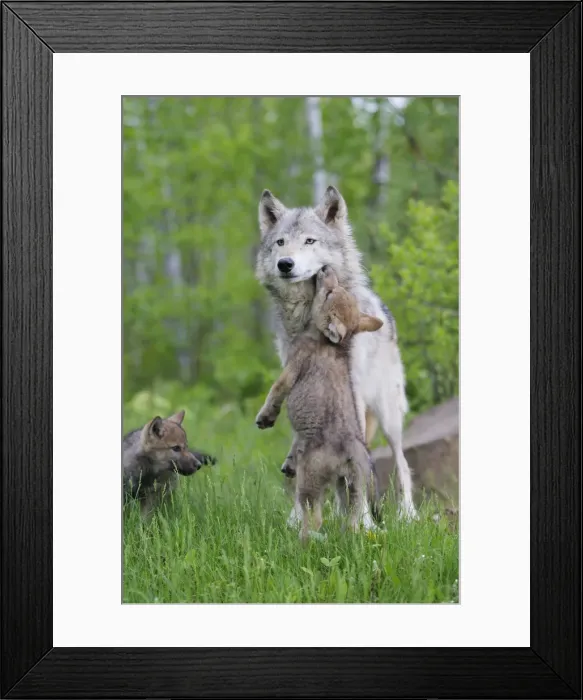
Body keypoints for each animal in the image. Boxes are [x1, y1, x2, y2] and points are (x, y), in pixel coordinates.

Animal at [256, 266, 383, 540]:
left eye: (330, 292)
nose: (325, 268)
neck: (332, 344)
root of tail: (350, 450)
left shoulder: (291, 369)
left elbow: (274, 394)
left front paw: (264, 418)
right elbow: (295, 440)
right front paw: (289, 461)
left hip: (310, 485)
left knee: (314, 520)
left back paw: (302, 539)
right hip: (353, 492)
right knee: (353, 524)